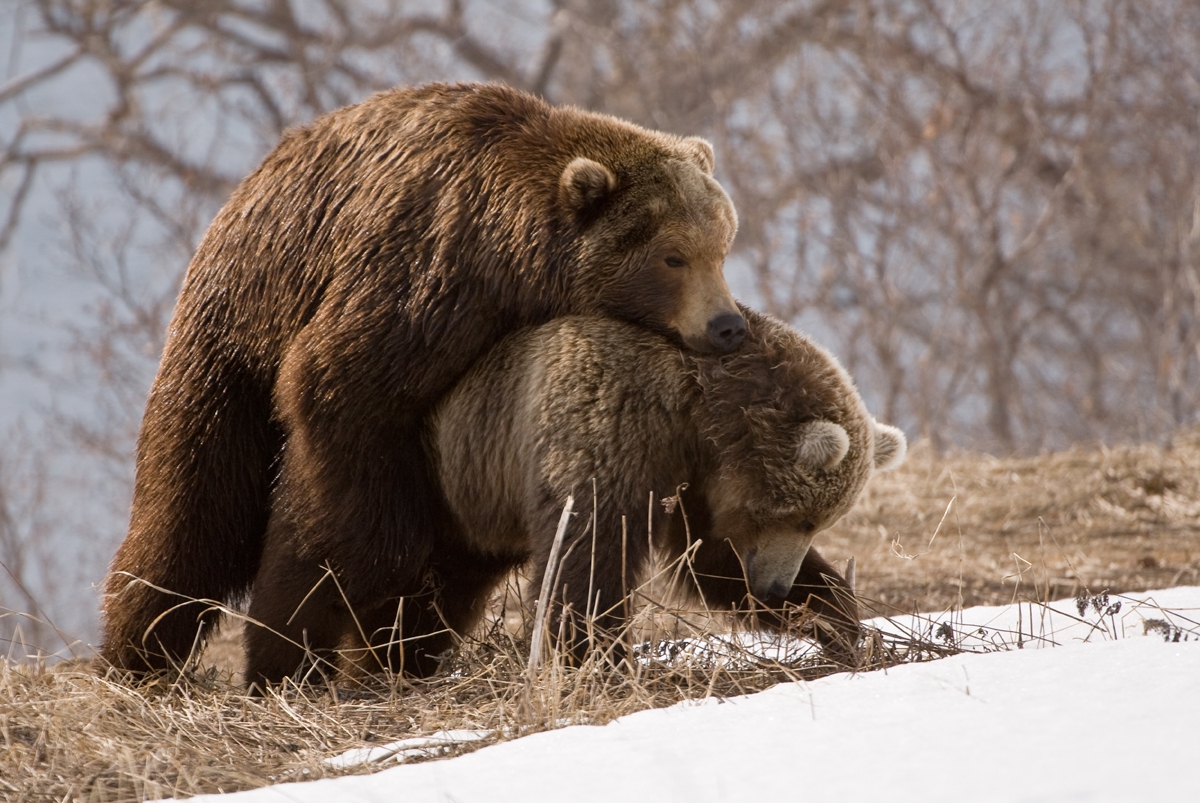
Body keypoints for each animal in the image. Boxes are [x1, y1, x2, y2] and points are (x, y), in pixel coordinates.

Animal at [100, 79, 748, 681]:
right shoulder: (426, 279)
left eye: (721, 245)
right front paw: (333, 610)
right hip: (238, 330)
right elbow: (341, 409)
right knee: (196, 504)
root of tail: (248, 185)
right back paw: (143, 651)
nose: (727, 325)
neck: (518, 264)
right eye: (672, 256)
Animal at [427, 303, 902, 662]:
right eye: (804, 518)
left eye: (819, 523)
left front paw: (835, 618)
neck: (700, 412)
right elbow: (593, 541)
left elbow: (710, 558)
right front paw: (590, 652)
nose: (775, 588)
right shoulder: (616, 413)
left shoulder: (697, 484)